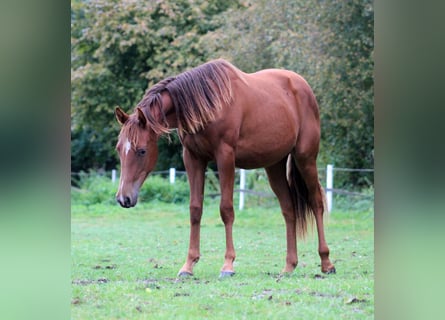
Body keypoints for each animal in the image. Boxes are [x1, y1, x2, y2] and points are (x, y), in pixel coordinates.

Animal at [114, 59, 332, 278]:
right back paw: (289, 266)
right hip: (274, 166)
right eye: (119, 149)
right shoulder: (193, 158)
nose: (124, 198)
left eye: (141, 151)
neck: (207, 104)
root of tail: (302, 86)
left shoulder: (225, 156)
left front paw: (228, 265)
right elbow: (195, 209)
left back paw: (326, 262)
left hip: (305, 159)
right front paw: (188, 265)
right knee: (288, 209)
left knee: (316, 202)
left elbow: (226, 209)